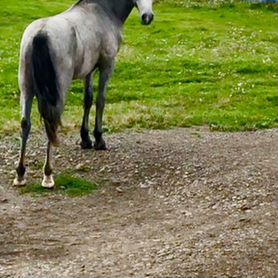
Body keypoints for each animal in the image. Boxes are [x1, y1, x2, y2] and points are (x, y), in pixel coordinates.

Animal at [13, 0, 154, 189]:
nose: (147, 17)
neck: (103, 11)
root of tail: (41, 33)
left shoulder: (89, 71)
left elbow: (87, 99)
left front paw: (85, 138)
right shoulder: (106, 66)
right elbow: (100, 100)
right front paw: (99, 139)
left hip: (26, 88)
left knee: (25, 124)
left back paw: (20, 174)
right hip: (58, 92)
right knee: (51, 123)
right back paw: (48, 174)